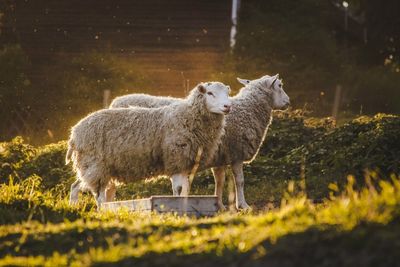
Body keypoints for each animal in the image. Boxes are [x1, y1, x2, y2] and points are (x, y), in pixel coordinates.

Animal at [65, 82, 231, 208]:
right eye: (210, 93)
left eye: (227, 93)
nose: (227, 106)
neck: (187, 116)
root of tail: (74, 133)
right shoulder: (176, 160)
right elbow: (178, 190)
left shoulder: (185, 164)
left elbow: (185, 190)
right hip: (95, 165)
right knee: (98, 194)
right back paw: (101, 210)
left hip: (96, 167)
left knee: (77, 186)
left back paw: (75, 206)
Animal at [106, 74, 290, 210]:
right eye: (280, 85)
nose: (288, 102)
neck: (247, 109)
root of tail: (114, 102)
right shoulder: (236, 152)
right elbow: (240, 181)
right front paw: (243, 205)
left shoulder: (220, 157)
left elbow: (219, 182)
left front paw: (220, 205)